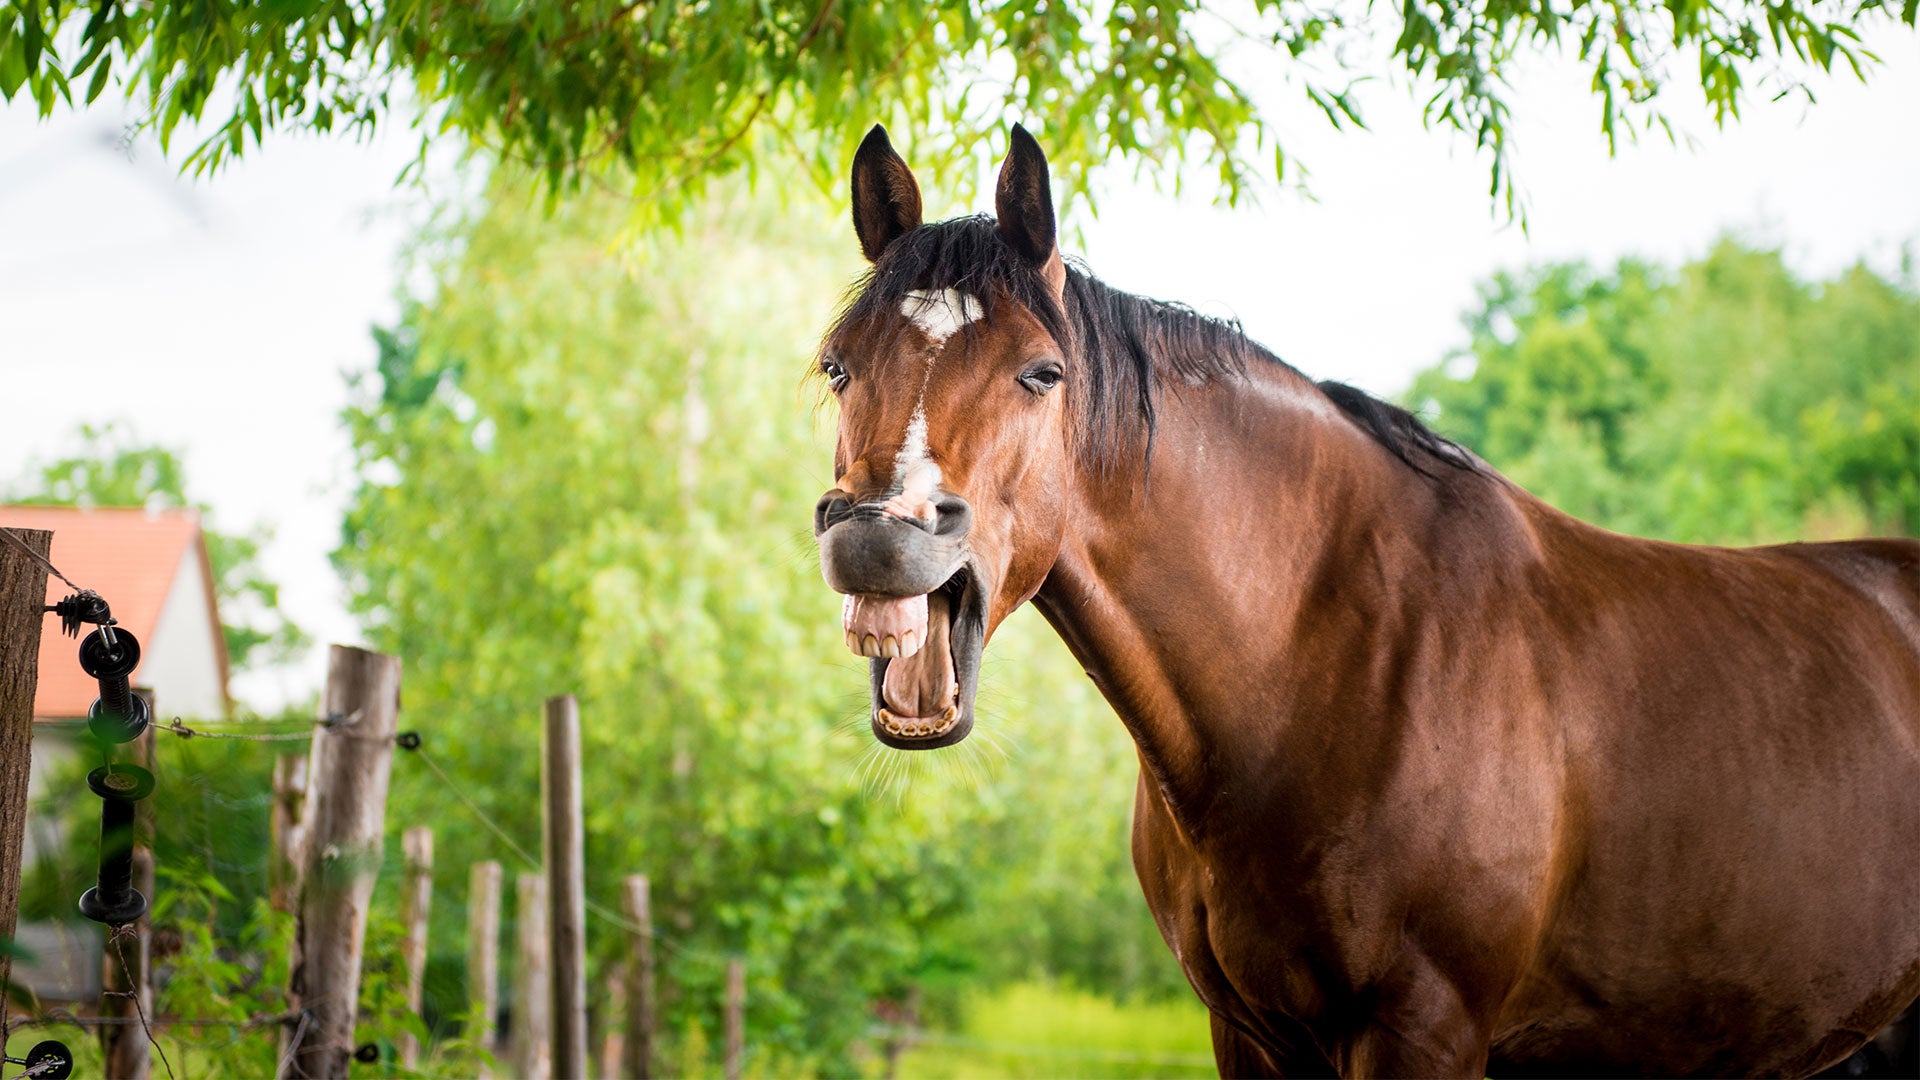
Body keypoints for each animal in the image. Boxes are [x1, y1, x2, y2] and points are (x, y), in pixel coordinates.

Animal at [809, 122, 1920, 1077]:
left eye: (1041, 373)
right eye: (837, 366)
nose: (878, 535)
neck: (1323, 662)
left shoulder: (1424, 1027)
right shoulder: (1248, 1036)